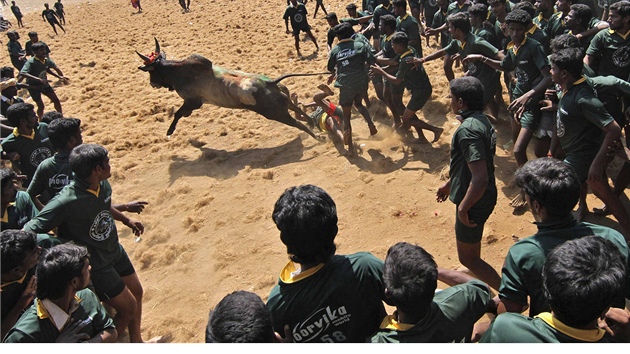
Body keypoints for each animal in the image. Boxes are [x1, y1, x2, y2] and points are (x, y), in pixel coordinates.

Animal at [138, 38, 326, 138]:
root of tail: (269, 83)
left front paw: (170, 131)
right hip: (284, 102)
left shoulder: (192, 102)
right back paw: (312, 124)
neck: (178, 71)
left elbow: (178, 114)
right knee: (298, 109)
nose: (152, 83)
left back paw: (317, 137)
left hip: (277, 114)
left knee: (297, 123)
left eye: (151, 72)